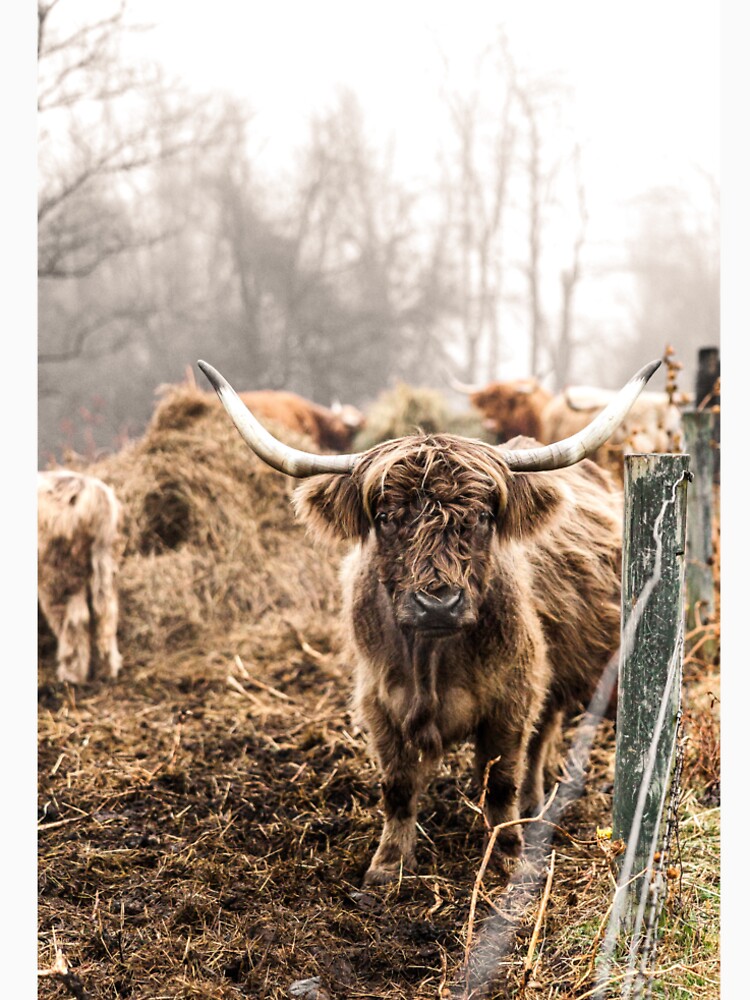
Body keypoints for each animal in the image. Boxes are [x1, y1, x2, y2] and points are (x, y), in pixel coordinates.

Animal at [38, 470, 123, 684]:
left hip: (58, 575)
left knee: (74, 620)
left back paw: (71, 674)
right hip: (105, 562)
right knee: (107, 612)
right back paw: (109, 668)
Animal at [198, 357, 660, 885]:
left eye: (481, 517)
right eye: (384, 517)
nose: (438, 604)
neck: (432, 660)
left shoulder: (513, 696)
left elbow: (500, 780)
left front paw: (506, 853)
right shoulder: (380, 703)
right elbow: (397, 787)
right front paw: (387, 866)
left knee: (540, 740)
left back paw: (534, 806)